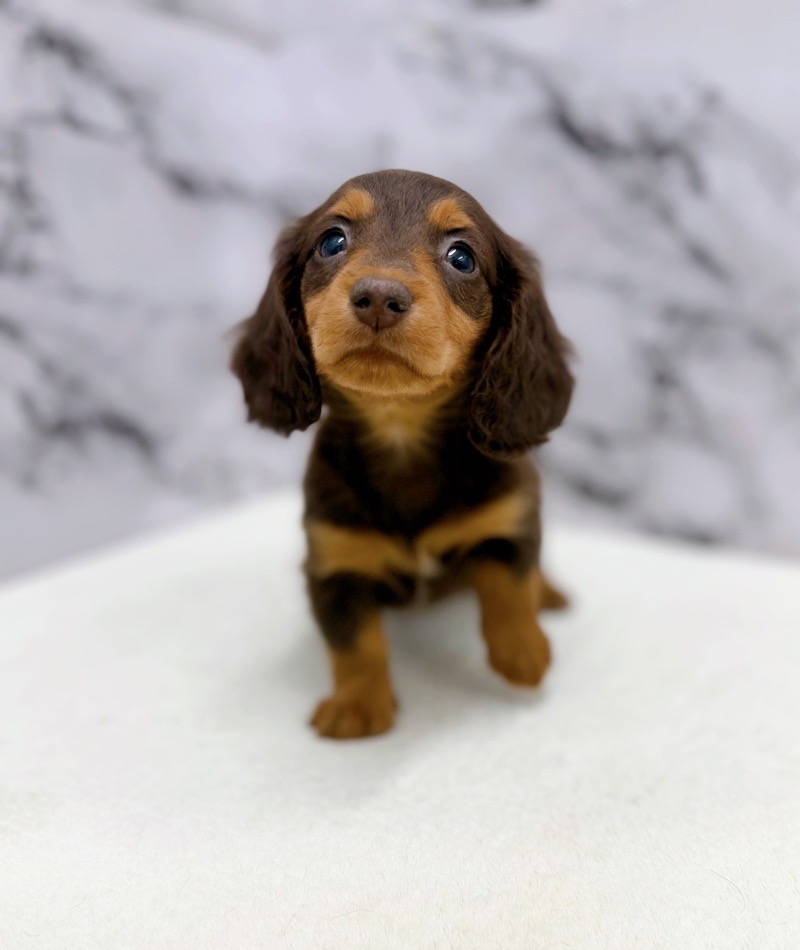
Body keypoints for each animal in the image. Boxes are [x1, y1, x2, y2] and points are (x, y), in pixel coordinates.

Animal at [231, 169, 574, 739]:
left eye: (461, 256)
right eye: (332, 241)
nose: (377, 295)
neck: (401, 431)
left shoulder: (509, 517)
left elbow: (508, 586)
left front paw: (523, 652)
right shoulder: (334, 565)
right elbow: (354, 644)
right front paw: (357, 707)